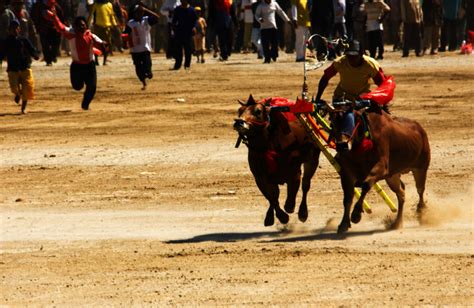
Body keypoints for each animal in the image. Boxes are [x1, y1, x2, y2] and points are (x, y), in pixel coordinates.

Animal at [234, 95, 320, 226]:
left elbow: (290, 195)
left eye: (258, 111)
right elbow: (272, 197)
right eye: (239, 110)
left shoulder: (294, 172)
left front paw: (290, 207)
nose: (239, 122)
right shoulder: (260, 177)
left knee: (306, 184)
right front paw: (280, 217)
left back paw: (303, 213)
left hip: (313, 159)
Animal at [330, 104, 430, 233]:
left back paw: (421, 211)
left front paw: (356, 215)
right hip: (392, 177)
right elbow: (347, 198)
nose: (342, 145)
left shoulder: (381, 168)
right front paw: (343, 224)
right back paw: (397, 223)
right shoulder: (346, 174)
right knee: (401, 193)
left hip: (421, 168)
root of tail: (421, 130)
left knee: (420, 190)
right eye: (332, 123)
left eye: (351, 122)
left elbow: (366, 184)